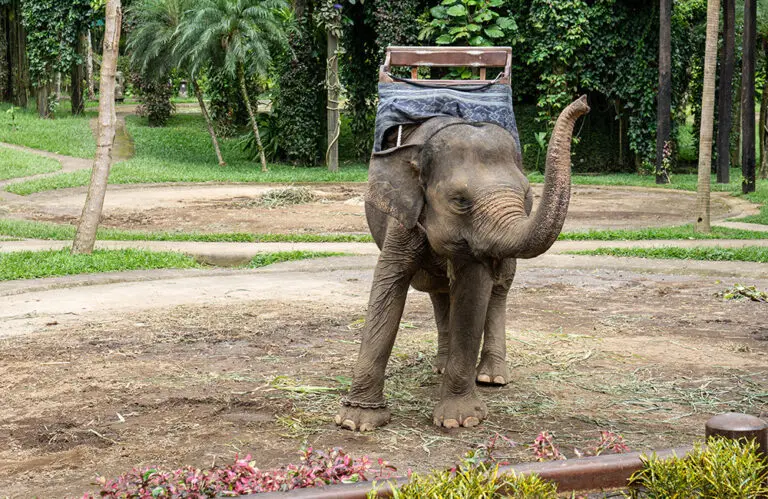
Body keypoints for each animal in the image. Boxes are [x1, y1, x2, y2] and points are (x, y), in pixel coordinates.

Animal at [335, 96, 590, 431]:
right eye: (460, 201)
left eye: (526, 196)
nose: (584, 103)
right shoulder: (402, 219)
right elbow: (388, 285)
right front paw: (355, 422)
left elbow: (472, 294)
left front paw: (459, 420)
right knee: (438, 292)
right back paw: (441, 366)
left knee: (499, 290)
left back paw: (492, 377)